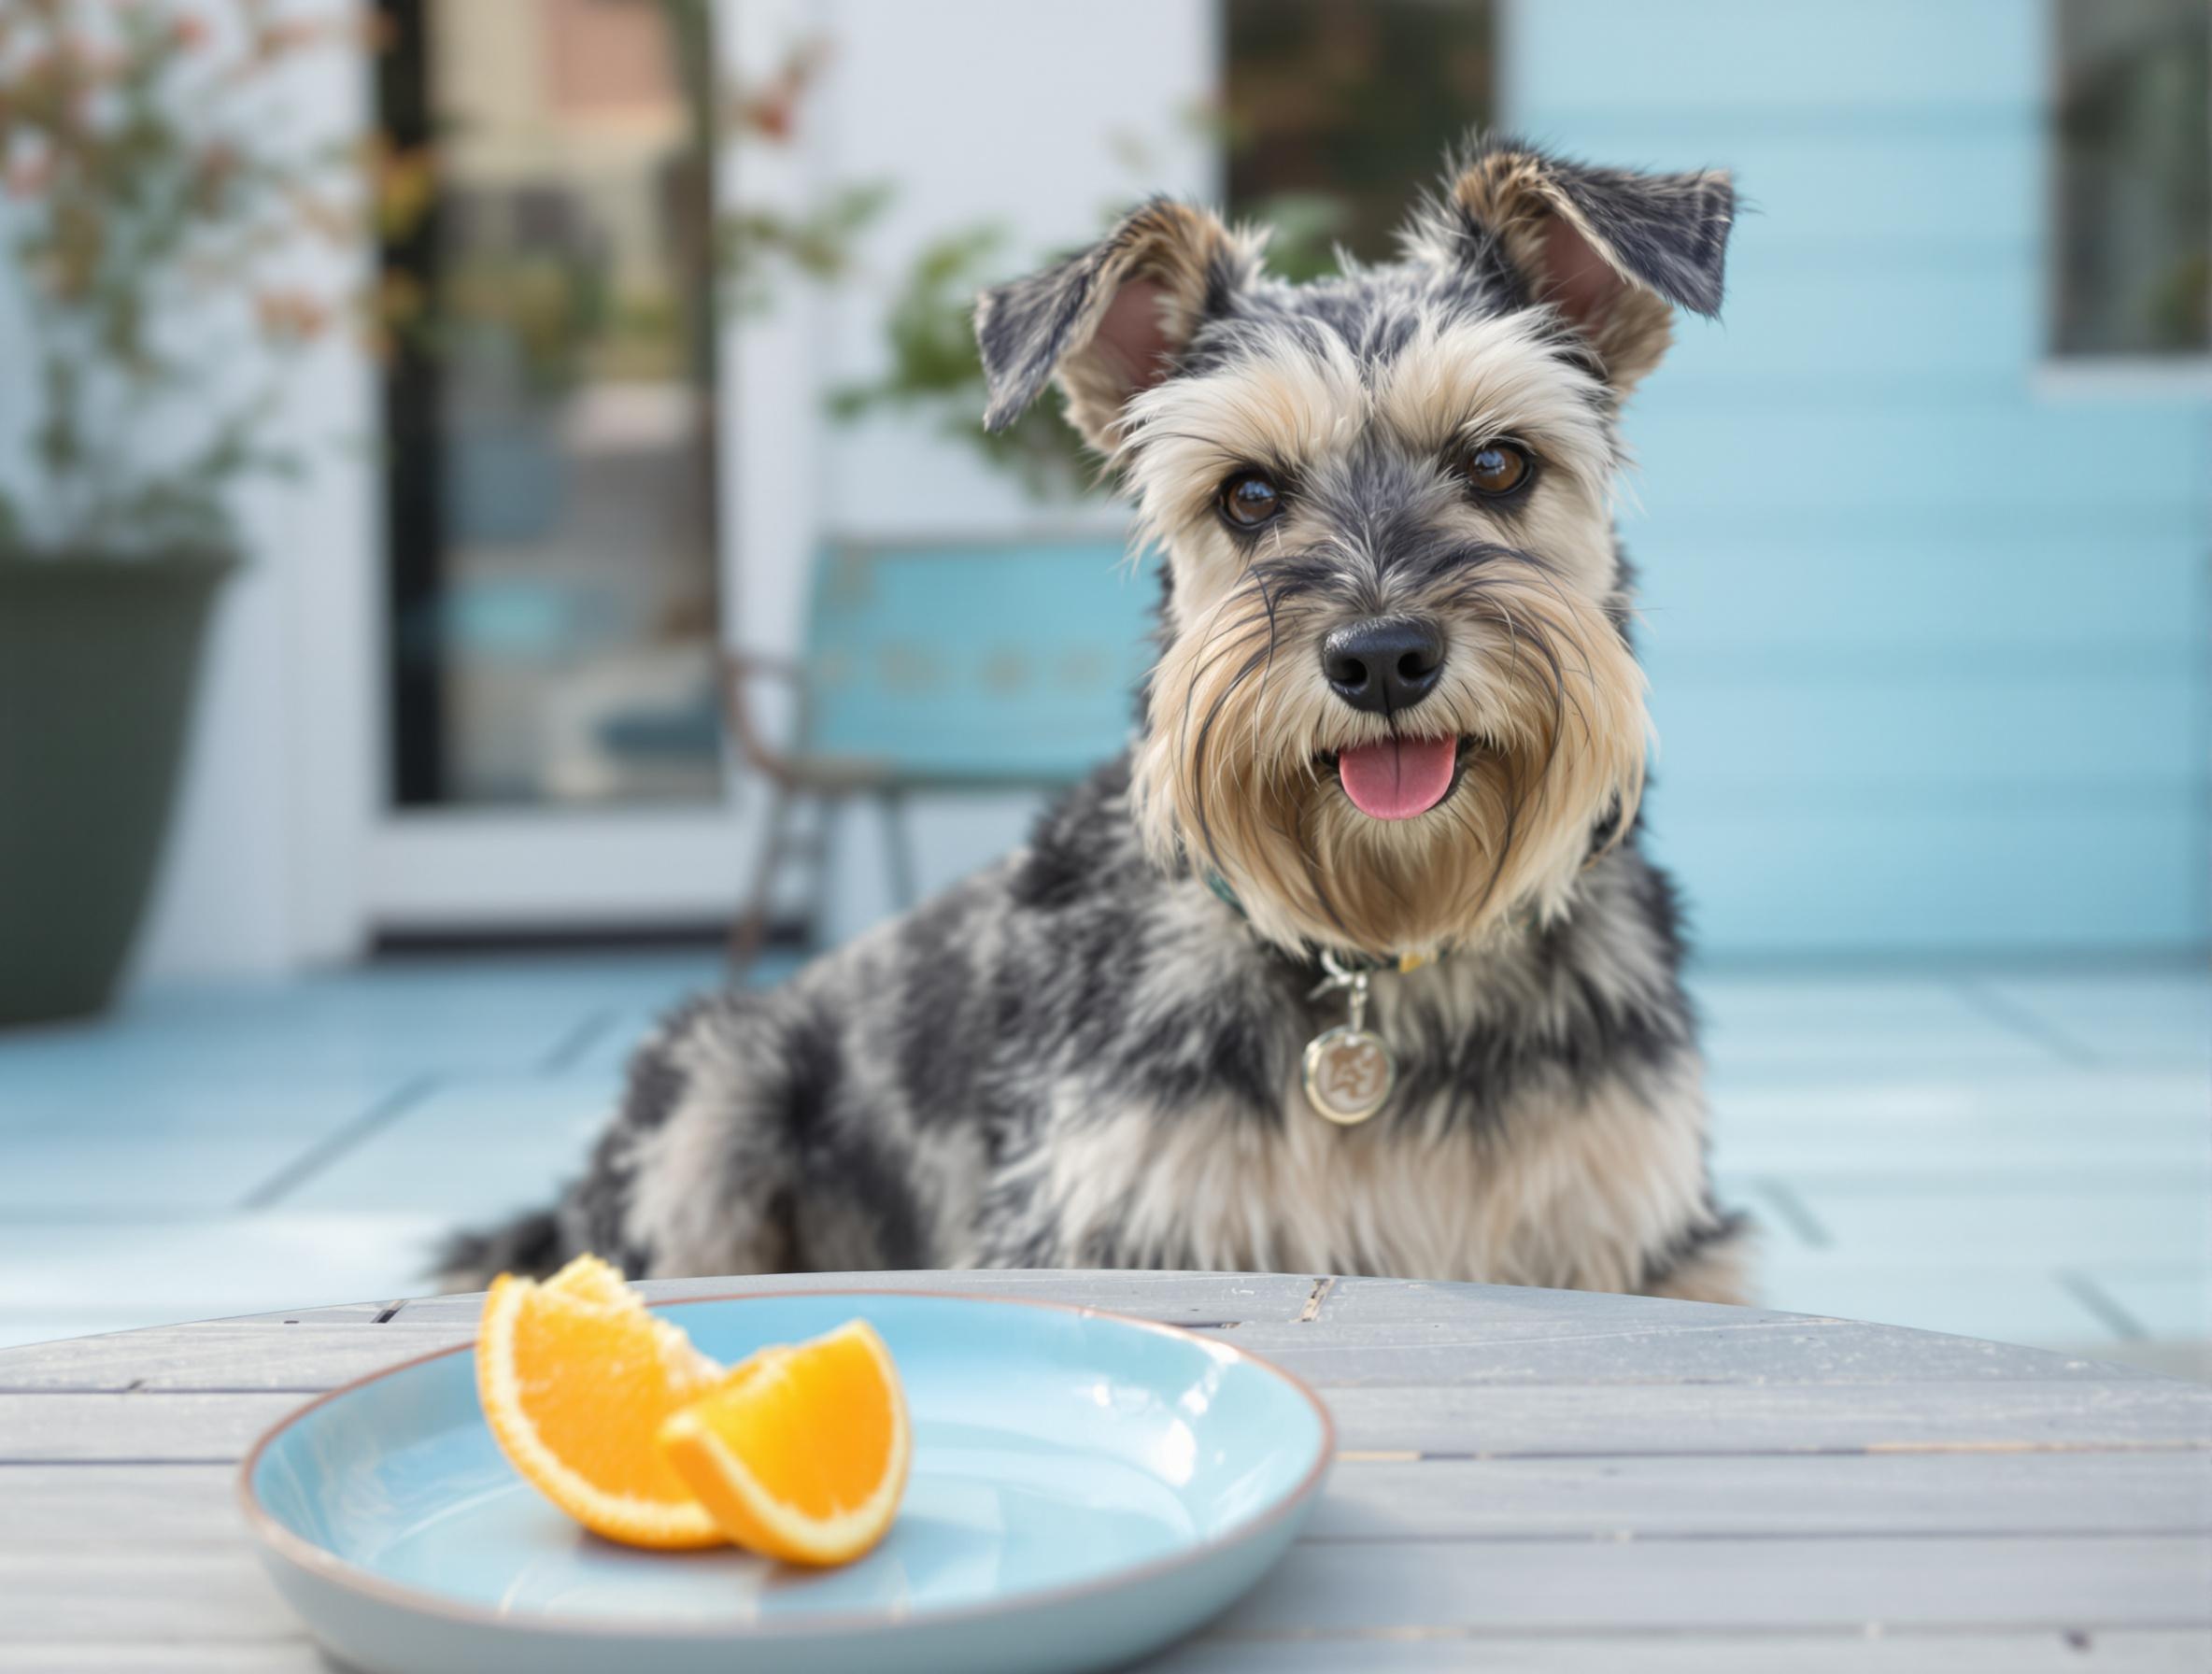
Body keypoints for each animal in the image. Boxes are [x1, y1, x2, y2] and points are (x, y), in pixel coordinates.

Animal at [444, 134, 1742, 1309]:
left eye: (1500, 462)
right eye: (1247, 494)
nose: (1379, 657)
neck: (1385, 959)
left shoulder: (1651, 1245)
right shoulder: (1104, 1222)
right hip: (711, 1100)